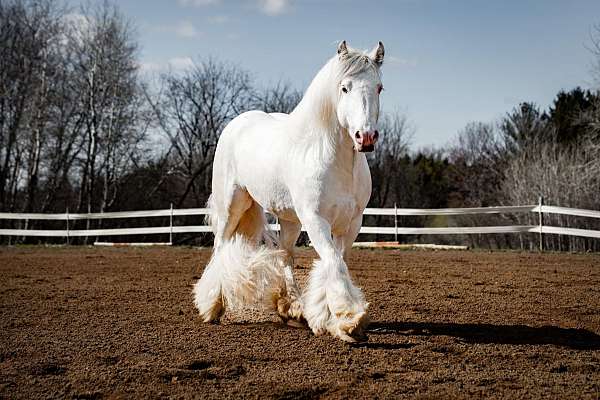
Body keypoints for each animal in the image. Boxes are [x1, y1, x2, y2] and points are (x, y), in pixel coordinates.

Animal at [195, 39, 386, 340]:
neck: (334, 160)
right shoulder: (316, 220)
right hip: (231, 206)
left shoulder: (352, 223)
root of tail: (237, 123)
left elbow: (337, 262)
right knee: (220, 247)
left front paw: (329, 317)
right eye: (344, 87)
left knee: (285, 256)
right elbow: (333, 262)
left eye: (379, 87)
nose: (365, 137)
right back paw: (212, 306)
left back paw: (292, 309)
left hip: (289, 220)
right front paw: (349, 319)